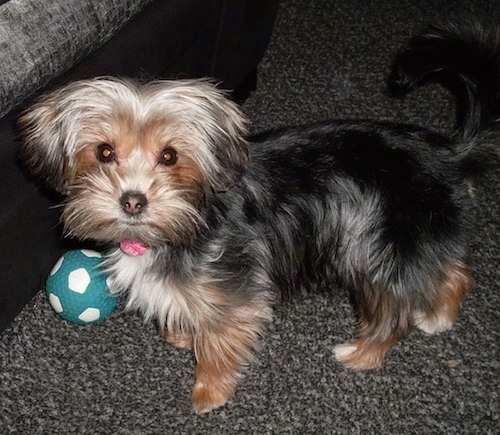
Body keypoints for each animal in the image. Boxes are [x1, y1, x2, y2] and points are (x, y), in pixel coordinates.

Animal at [17, 21, 498, 416]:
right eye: (104, 152)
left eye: (170, 157)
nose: (133, 201)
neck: (184, 220)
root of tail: (448, 152)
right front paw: (183, 335)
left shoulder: (237, 293)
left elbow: (220, 339)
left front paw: (209, 392)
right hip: (421, 232)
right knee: (454, 269)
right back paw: (440, 314)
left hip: (376, 245)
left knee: (395, 307)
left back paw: (362, 353)